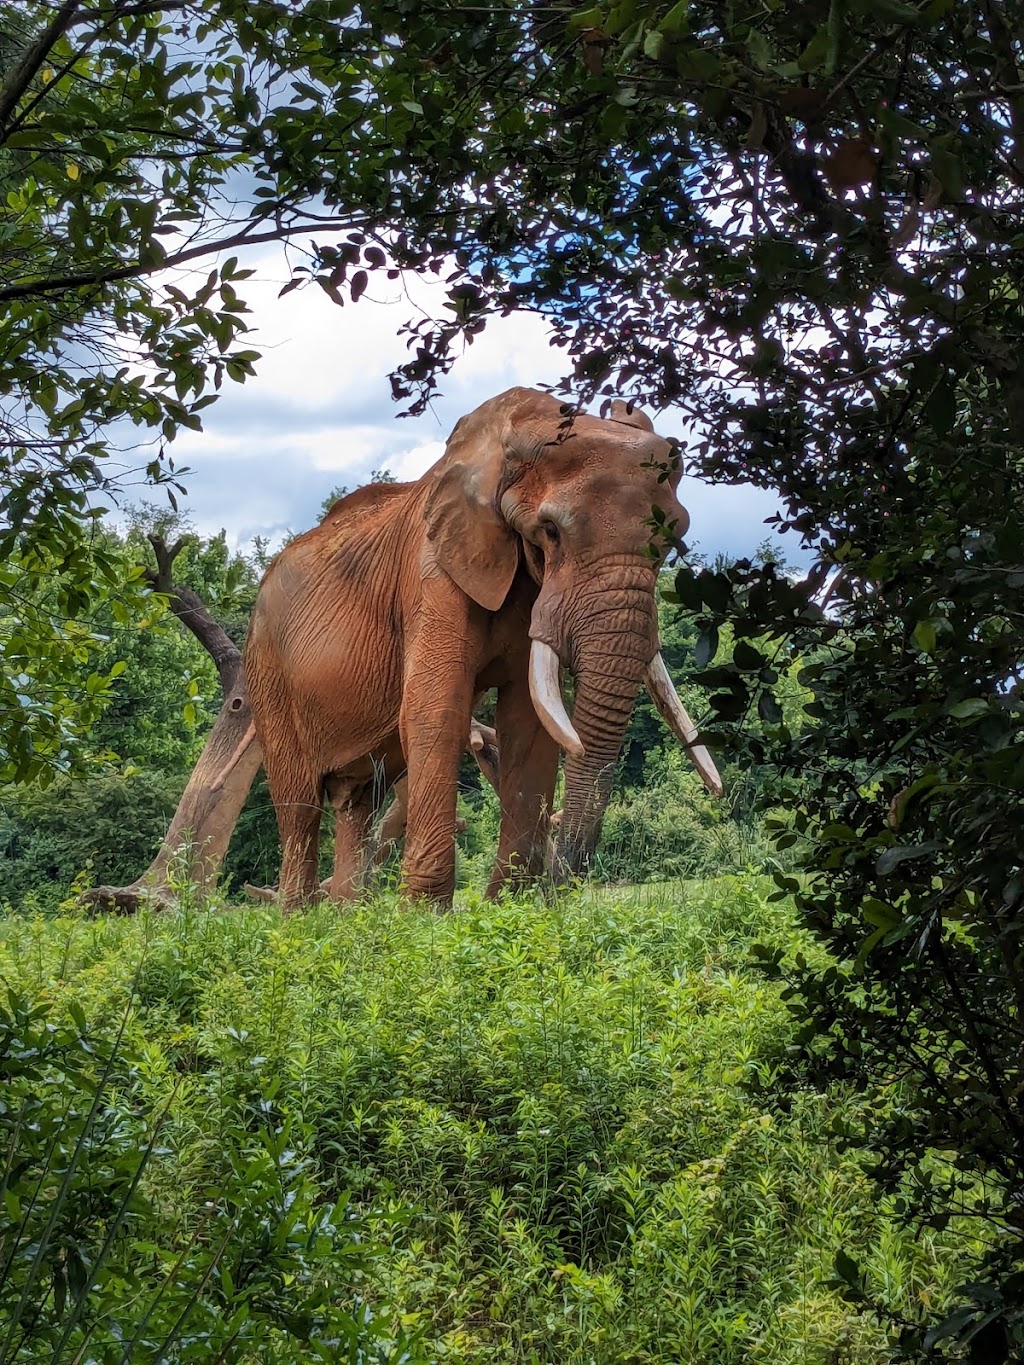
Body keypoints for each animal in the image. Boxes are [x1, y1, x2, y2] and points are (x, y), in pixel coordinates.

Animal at [245, 390, 720, 911]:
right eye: (550, 531)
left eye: (673, 543)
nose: (560, 892)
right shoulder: (432, 572)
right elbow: (436, 710)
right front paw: (424, 916)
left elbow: (529, 723)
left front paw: (509, 908)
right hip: (267, 669)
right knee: (299, 804)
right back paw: (300, 918)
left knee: (359, 801)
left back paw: (349, 916)